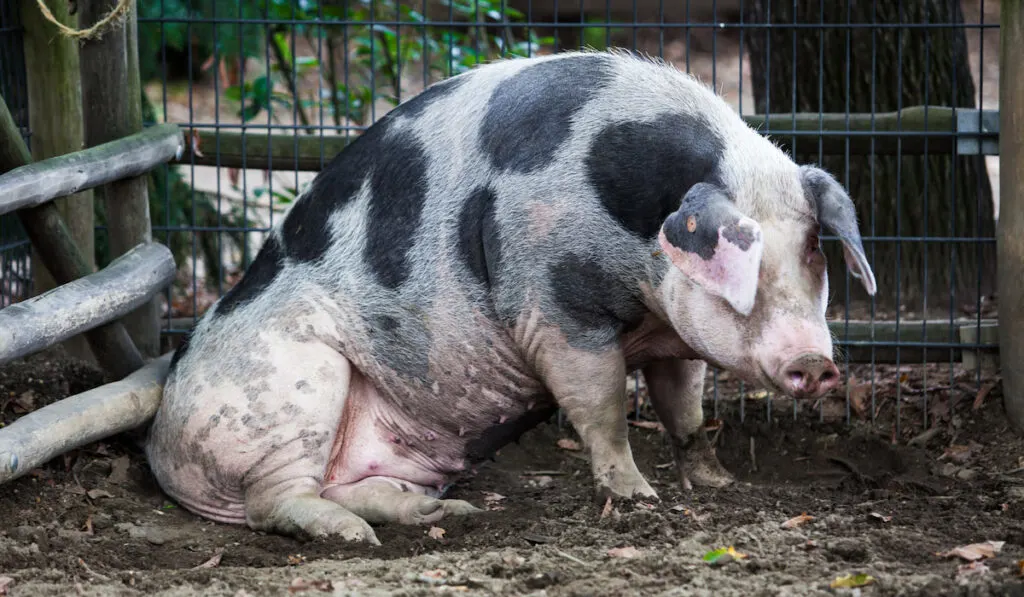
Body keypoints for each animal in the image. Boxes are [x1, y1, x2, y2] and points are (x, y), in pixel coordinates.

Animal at [146, 50, 880, 544]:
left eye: (813, 251)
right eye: (744, 265)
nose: (815, 362)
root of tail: (159, 441)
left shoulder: (674, 334)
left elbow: (686, 411)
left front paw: (718, 482)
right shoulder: (552, 303)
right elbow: (604, 406)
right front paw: (639, 497)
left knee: (356, 489)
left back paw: (451, 512)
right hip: (290, 386)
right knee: (275, 501)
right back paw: (356, 536)